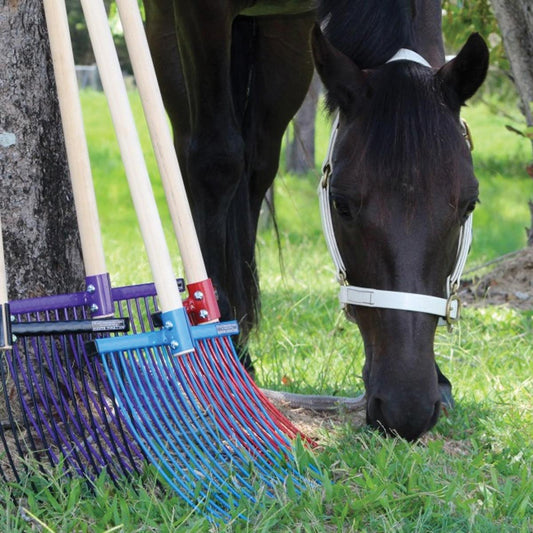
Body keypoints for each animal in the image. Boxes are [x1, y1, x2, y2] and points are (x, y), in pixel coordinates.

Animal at [143, 0, 488, 438]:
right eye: (340, 204)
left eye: (469, 205)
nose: (406, 407)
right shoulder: (197, 14)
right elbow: (214, 160)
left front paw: (439, 377)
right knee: (192, 151)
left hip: (284, 40)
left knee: (257, 161)